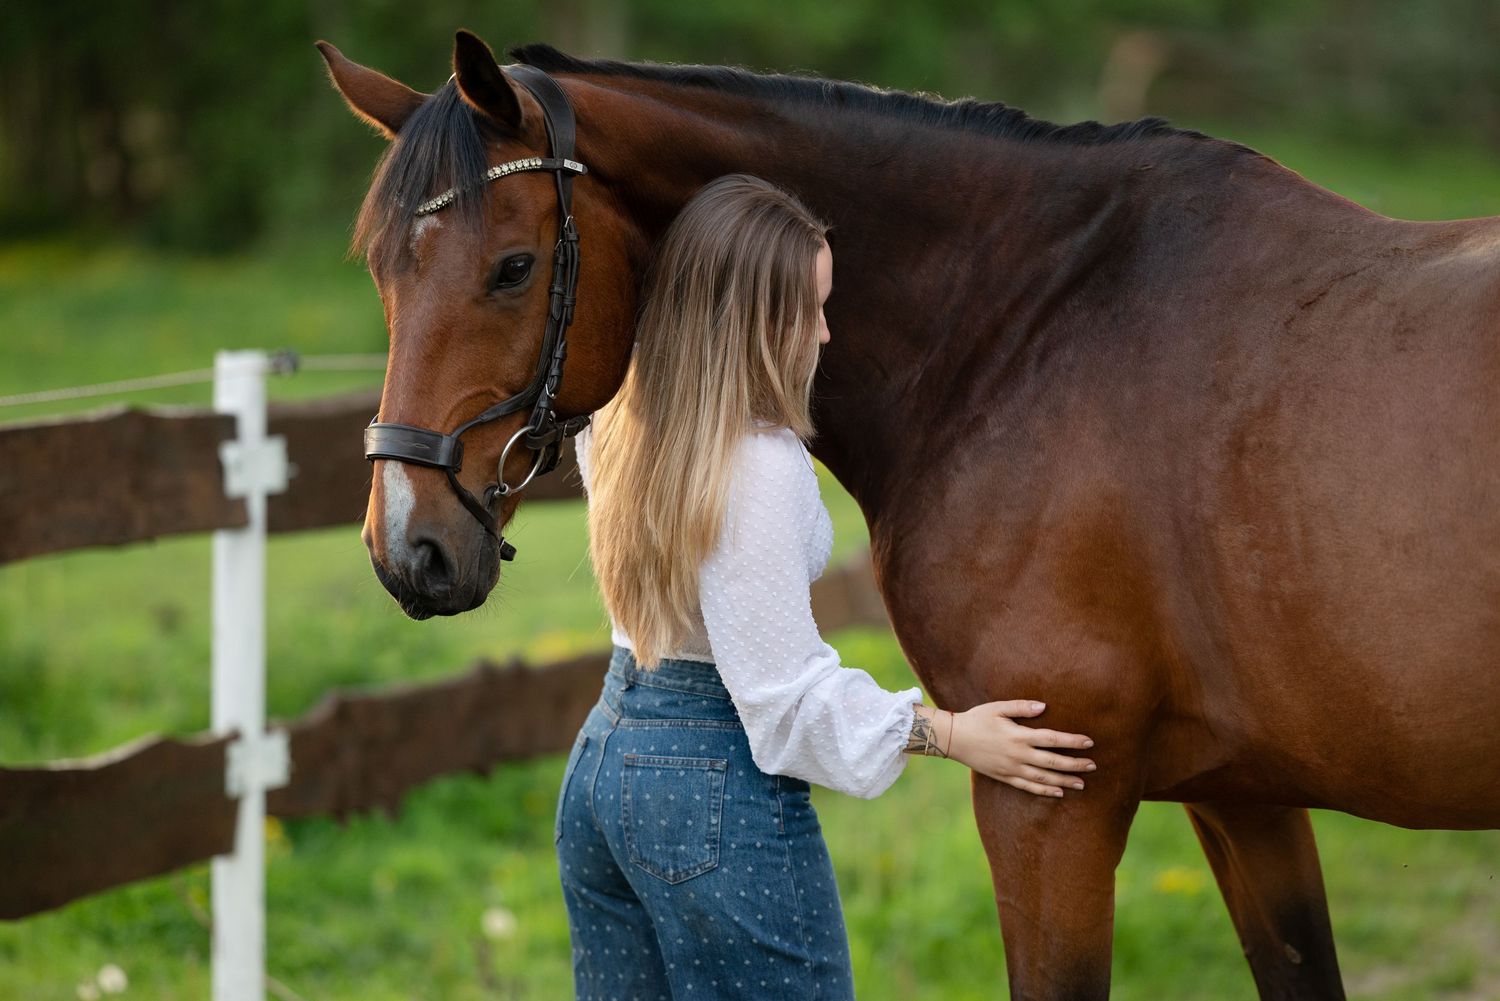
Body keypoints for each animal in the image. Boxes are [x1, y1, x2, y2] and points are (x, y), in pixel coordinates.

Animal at [318, 31, 1500, 999]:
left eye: (513, 268)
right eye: (377, 271)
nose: (409, 546)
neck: (1032, 322)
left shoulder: (1049, 803)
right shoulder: (1245, 798)